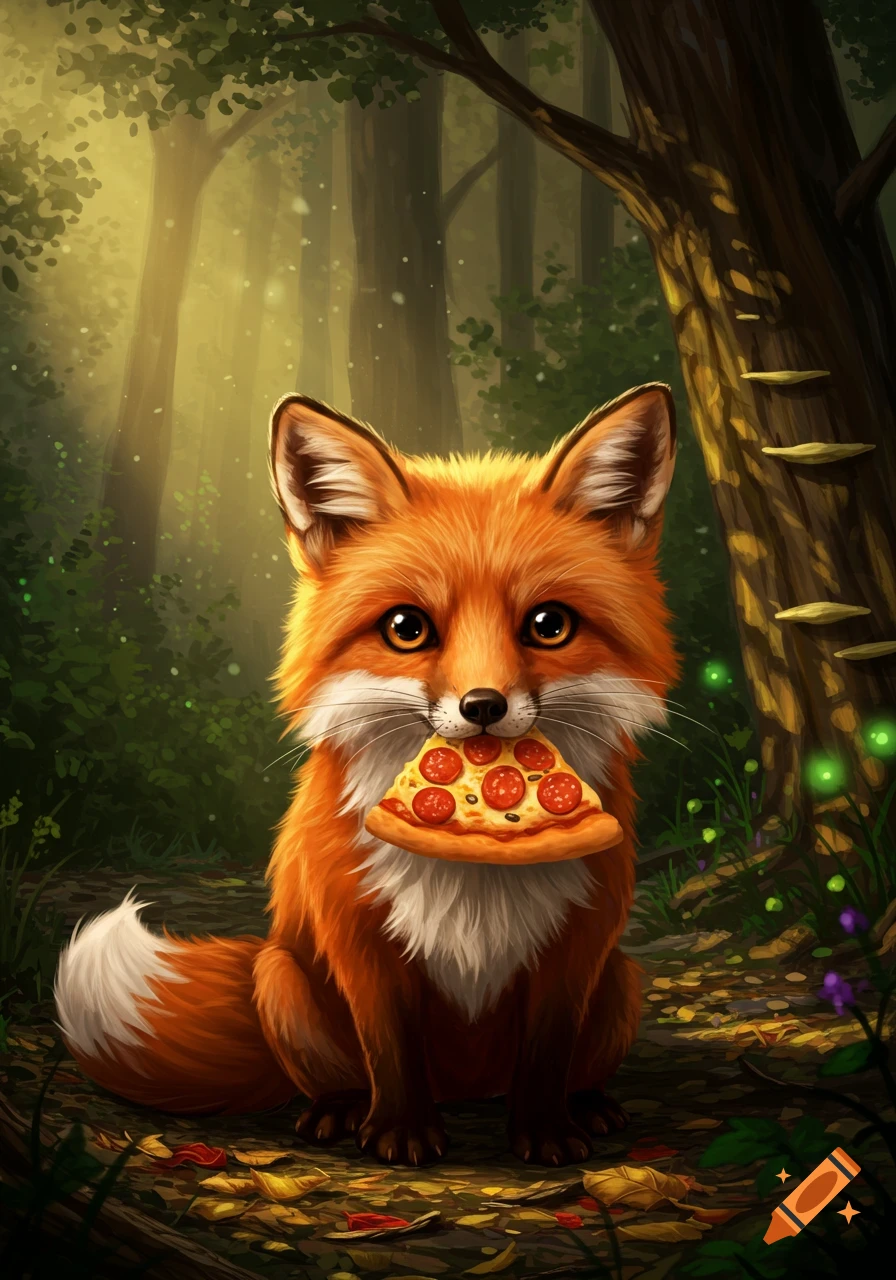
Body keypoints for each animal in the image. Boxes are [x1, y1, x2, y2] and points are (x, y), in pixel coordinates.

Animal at [55, 382, 678, 1167]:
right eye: (407, 628)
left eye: (548, 625)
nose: (483, 707)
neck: (474, 872)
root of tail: (468, 1088)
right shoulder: (359, 935)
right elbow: (389, 1049)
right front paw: (399, 1132)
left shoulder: (580, 942)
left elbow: (546, 1053)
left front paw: (543, 1132)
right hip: (281, 979)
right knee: (338, 1071)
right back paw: (341, 1110)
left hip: (622, 981)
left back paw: (587, 1104)